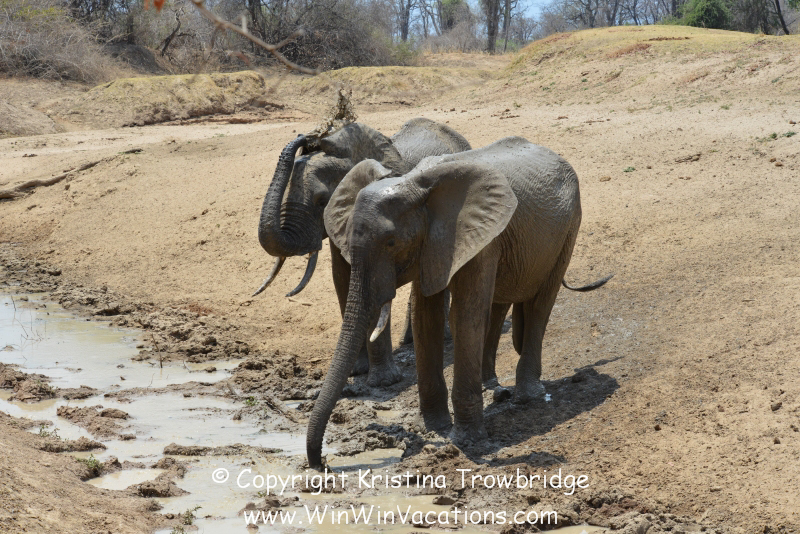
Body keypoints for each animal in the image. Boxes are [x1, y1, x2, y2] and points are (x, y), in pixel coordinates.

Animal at [255, 118, 470, 386]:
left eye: (321, 201)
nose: (306, 136)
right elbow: (342, 279)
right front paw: (356, 372)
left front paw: (384, 381)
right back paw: (410, 341)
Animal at [306, 136, 612, 467]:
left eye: (391, 243)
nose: (322, 464)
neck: (414, 184)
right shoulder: (433, 244)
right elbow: (426, 316)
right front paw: (434, 428)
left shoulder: (480, 237)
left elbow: (465, 314)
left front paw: (466, 441)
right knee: (501, 303)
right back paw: (493, 387)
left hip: (569, 227)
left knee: (541, 303)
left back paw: (527, 396)